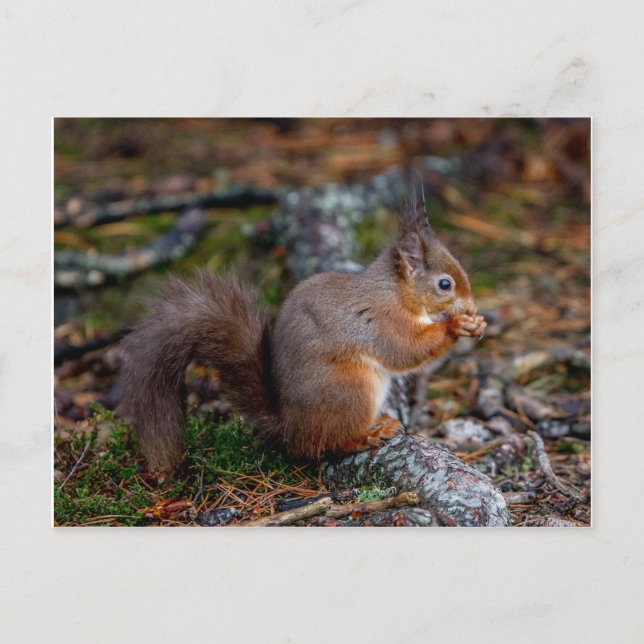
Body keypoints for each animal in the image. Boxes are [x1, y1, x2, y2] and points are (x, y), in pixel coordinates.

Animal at [119, 197, 486, 472]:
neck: (396, 293)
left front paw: (475, 322)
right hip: (352, 390)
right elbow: (405, 351)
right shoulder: (382, 322)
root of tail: (289, 427)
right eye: (445, 284)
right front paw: (456, 325)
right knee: (329, 444)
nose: (472, 305)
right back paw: (366, 436)